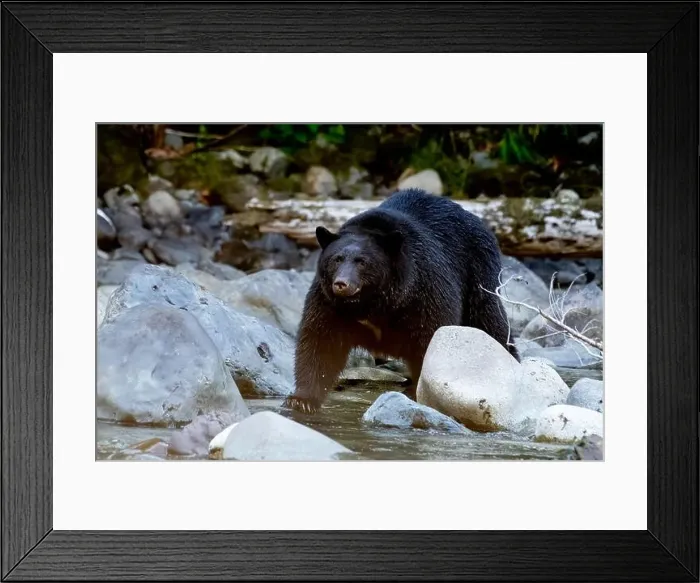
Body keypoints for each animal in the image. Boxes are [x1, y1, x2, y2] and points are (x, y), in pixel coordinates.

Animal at [283, 188, 518, 414]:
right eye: (336, 259)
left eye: (362, 262)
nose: (341, 284)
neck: (373, 302)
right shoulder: (329, 302)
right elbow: (321, 341)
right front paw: (302, 400)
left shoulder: (424, 291)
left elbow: (428, 340)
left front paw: (417, 393)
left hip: (478, 274)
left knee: (490, 323)